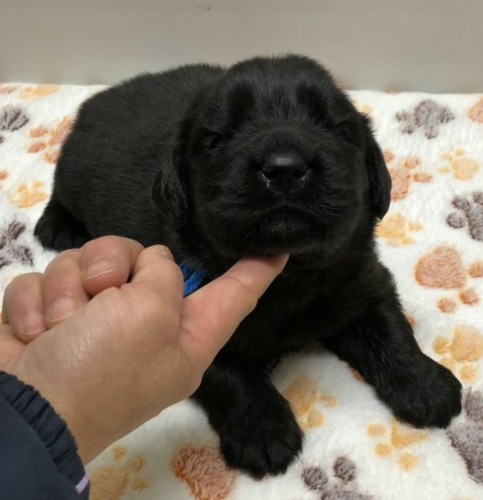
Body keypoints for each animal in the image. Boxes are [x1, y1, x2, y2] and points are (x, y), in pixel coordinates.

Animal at [34, 55, 462, 477]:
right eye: (216, 138)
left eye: (337, 129)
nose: (285, 169)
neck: (290, 276)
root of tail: (106, 94)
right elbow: (230, 373)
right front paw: (263, 430)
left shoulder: (363, 281)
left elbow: (391, 329)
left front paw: (426, 385)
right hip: (73, 170)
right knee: (59, 191)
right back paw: (57, 227)